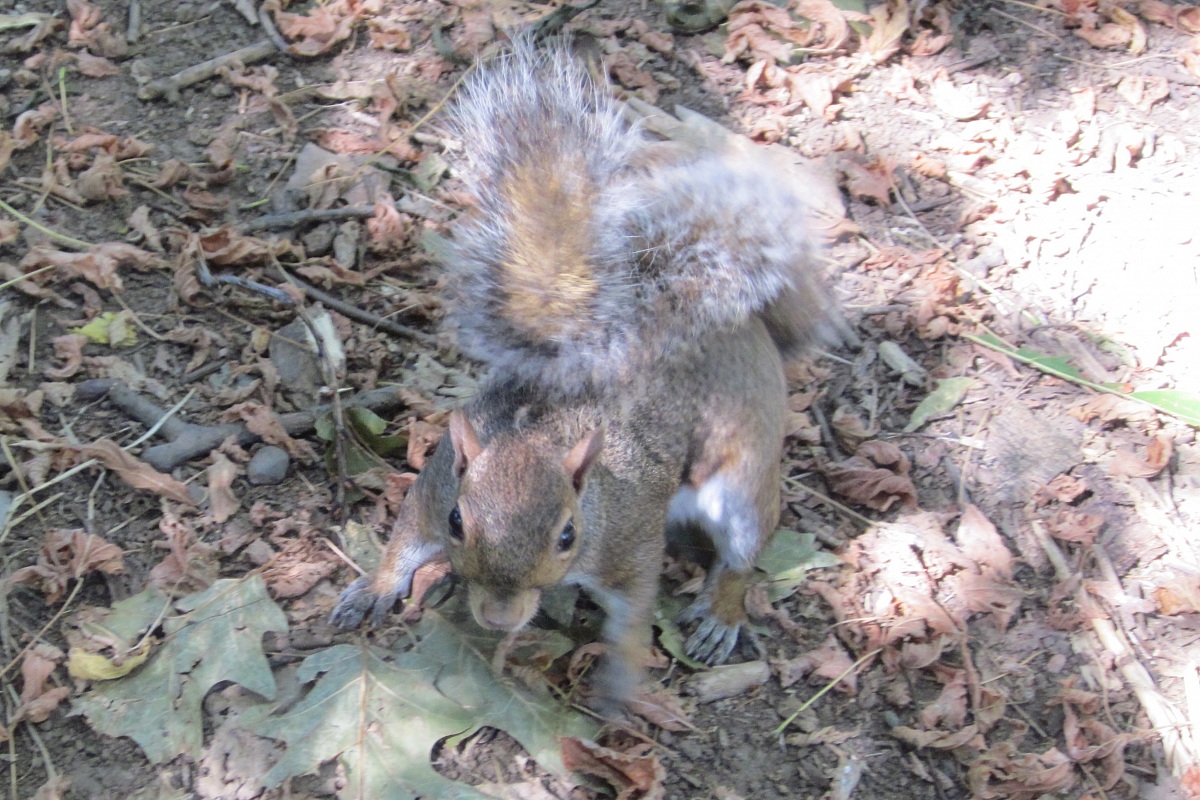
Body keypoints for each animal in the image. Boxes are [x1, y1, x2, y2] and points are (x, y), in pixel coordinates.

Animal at [331, 38, 833, 710]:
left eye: (568, 536)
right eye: (459, 522)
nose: (498, 618)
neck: (541, 437)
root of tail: (748, 326)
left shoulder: (630, 543)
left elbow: (635, 612)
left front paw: (621, 682)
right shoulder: (435, 485)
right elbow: (405, 536)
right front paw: (376, 585)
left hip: (746, 474)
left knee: (744, 548)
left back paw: (720, 614)